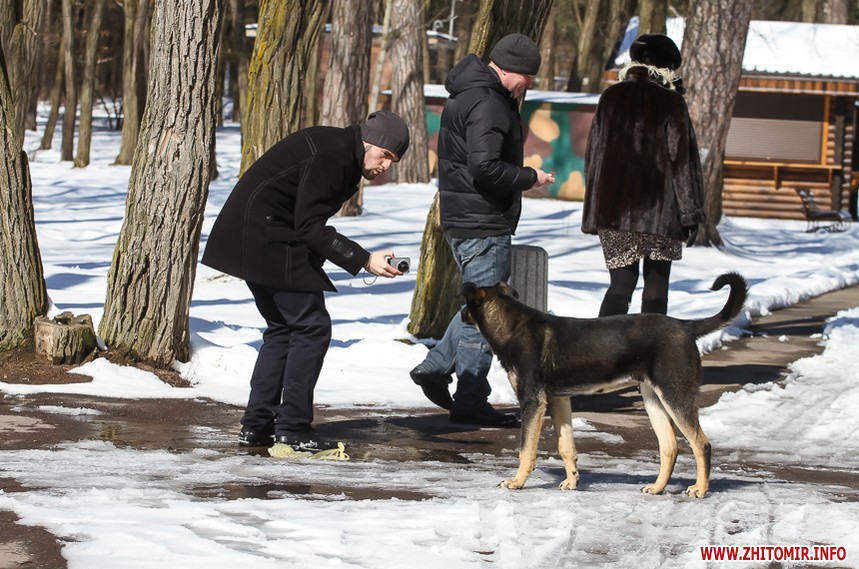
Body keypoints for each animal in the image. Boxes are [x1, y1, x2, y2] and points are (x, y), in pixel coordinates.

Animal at [460, 272, 747, 498]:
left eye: (465, 304)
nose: (460, 314)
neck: (512, 325)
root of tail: (685, 326)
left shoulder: (532, 400)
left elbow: (525, 449)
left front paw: (517, 482)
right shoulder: (558, 399)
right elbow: (566, 447)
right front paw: (572, 481)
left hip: (675, 394)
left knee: (701, 444)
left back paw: (700, 489)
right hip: (653, 398)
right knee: (670, 447)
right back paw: (657, 488)